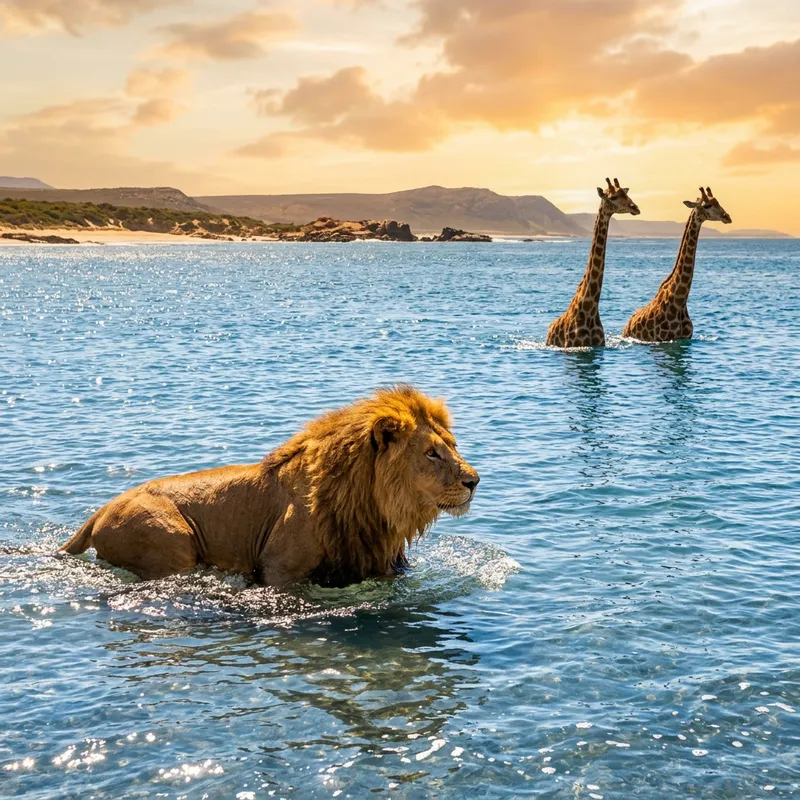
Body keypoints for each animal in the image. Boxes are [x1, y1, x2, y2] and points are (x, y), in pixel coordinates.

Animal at [59, 385, 480, 587]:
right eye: (431, 453)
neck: (372, 506)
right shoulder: (279, 570)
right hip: (169, 541)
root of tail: (98, 512)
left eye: (453, 445)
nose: (474, 481)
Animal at [622, 187, 731, 342]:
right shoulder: (663, 339)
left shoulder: (685, 338)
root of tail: (626, 326)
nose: (727, 216)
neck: (679, 300)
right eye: (707, 205)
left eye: (718, 202)